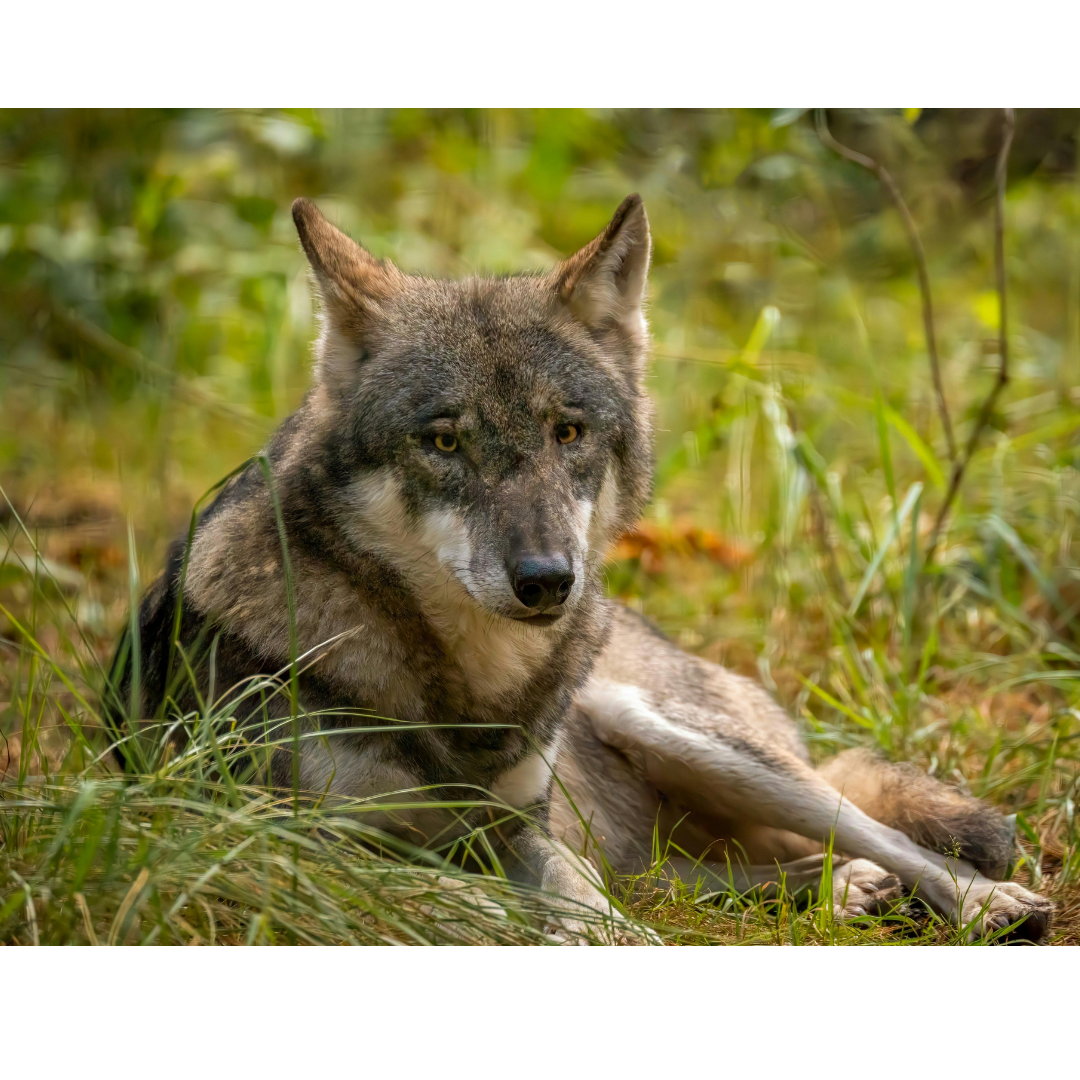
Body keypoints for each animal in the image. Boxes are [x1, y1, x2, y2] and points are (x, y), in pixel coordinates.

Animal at [113, 193, 1052, 942]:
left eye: (568, 432)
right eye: (444, 441)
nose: (547, 581)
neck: (470, 688)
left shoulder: (523, 827)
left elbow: (584, 904)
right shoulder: (293, 843)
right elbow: (484, 900)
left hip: (672, 729)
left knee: (866, 830)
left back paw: (973, 899)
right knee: (678, 876)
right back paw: (842, 892)